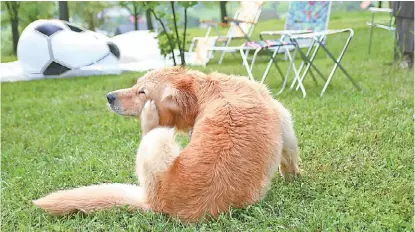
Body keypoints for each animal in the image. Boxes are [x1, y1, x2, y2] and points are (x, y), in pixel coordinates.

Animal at [31, 66, 300, 223]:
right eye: (135, 85)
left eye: (142, 92)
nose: (109, 97)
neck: (206, 89)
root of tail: (157, 204)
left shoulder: (283, 116)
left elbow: (289, 155)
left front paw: (292, 178)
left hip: (159, 139)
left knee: (150, 132)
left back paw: (148, 117)